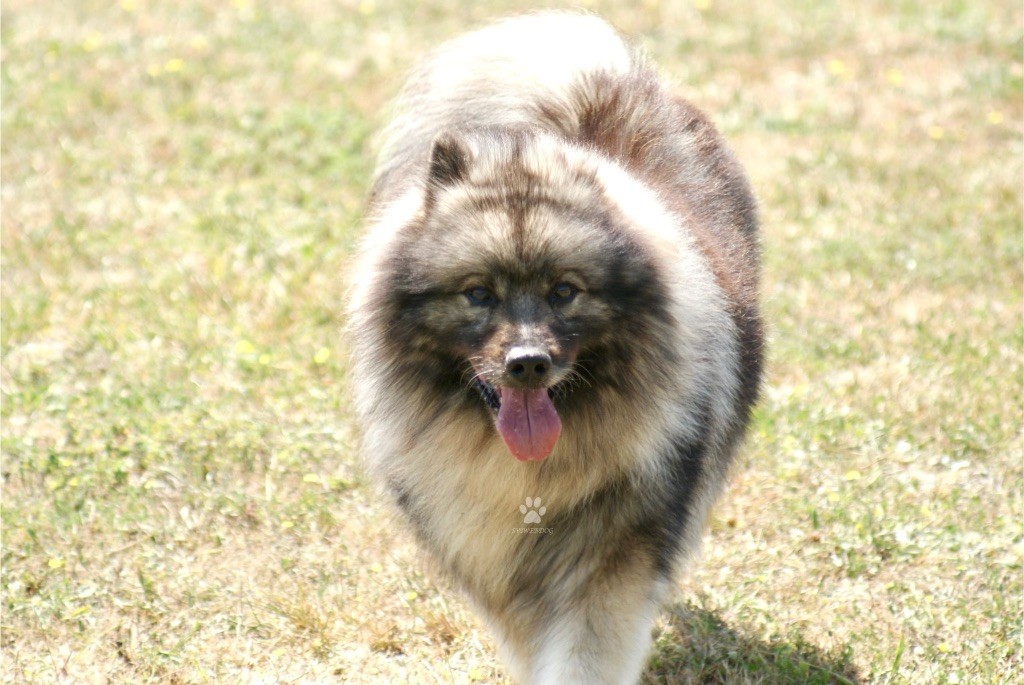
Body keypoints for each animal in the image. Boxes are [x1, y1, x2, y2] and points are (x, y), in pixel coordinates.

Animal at [348, 12, 765, 683]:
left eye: (564, 291)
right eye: (478, 293)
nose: (527, 364)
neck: (527, 474)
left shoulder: (609, 567)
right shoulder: (498, 570)